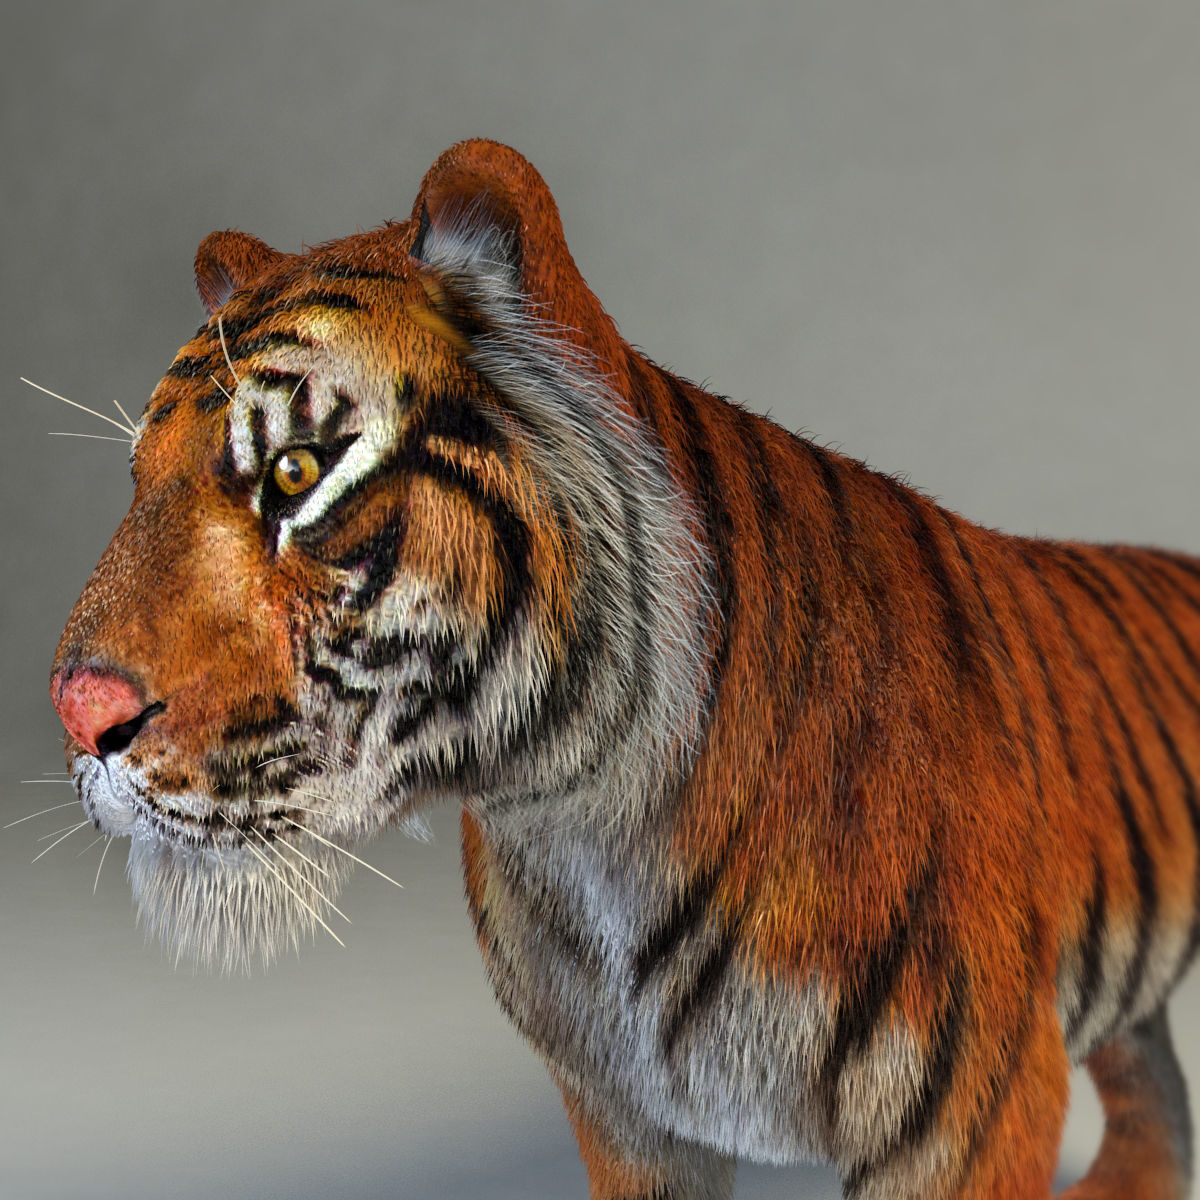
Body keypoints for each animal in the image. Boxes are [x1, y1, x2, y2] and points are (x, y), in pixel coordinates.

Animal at [49, 137, 1197, 1199]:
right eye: (138, 479)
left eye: (294, 473)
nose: (75, 713)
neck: (586, 827)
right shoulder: (624, 1116)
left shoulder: (972, 1113)